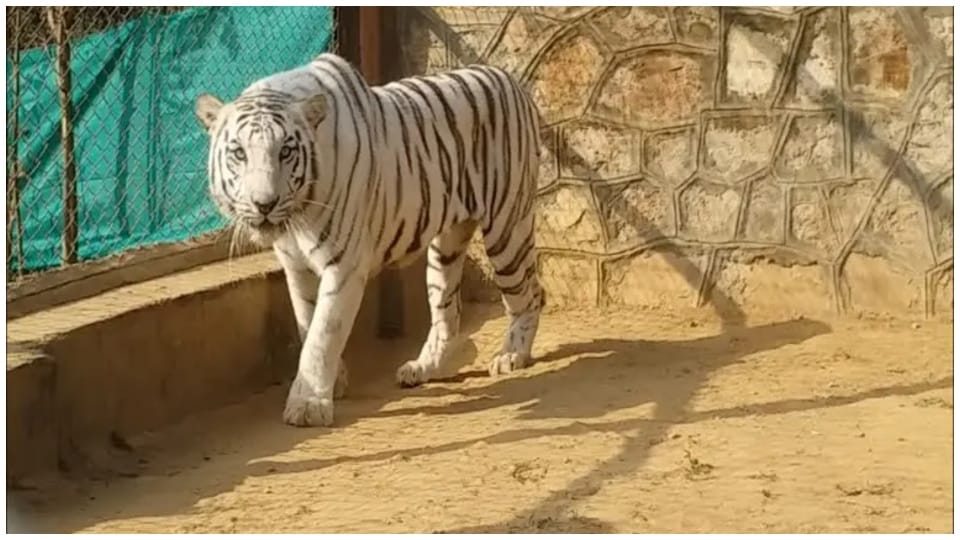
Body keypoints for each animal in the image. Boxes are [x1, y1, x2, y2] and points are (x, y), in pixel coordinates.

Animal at [194, 52, 545, 427]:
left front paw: (308, 405)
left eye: (286, 152)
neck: (298, 216)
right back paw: (422, 368)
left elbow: (323, 333)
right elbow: (307, 324)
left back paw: (512, 355)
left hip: (507, 229)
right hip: (446, 249)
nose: (265, 204)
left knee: (530, 294)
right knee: (448, 310)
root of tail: (507, 77)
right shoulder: (296, 267)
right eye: (239, 153)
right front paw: (333, 383)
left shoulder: (344, 266)